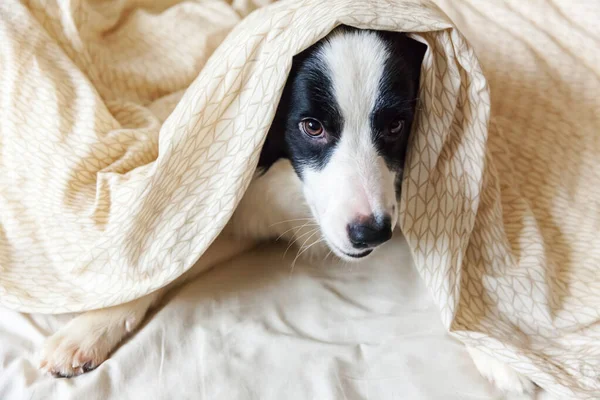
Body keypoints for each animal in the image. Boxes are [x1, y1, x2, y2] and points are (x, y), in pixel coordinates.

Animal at [38, 25, 536, 396]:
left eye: (397, 124)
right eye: (311, 126)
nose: (371, 234)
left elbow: (442, 271)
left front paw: (496, 349)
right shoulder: (234, 204)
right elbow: (167, 256)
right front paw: (88, 329)